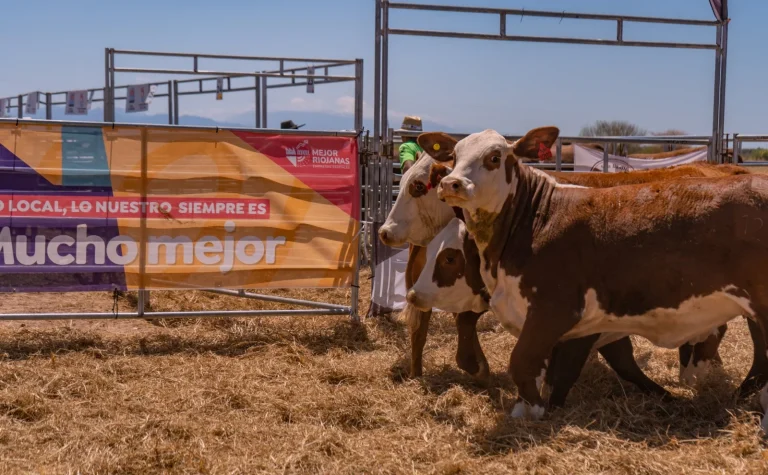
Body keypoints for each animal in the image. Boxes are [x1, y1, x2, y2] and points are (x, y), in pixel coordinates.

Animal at [420, 126, 768, 420]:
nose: (451, 183)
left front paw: (532, 410)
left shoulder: (555, 310)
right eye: (454, 157)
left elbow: (524, 362)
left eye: (494, 157)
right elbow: (545, 367)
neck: (535, 219)